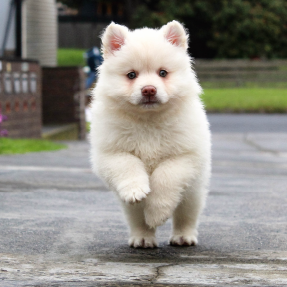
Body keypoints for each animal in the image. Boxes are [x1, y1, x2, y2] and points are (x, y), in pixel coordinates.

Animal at [90, 20, 212, 250]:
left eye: (163, 73)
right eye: (131, 75)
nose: (148, 90)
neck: (148, 121)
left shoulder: (184, 156)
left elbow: (166, 176)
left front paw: (157, 213)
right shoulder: (111, 152)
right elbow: (128, 165)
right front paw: (136, 190)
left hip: (192, 192)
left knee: (186, 215)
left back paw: (183, 237)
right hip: (131, 208)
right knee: (138, 218)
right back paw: (143, 238)